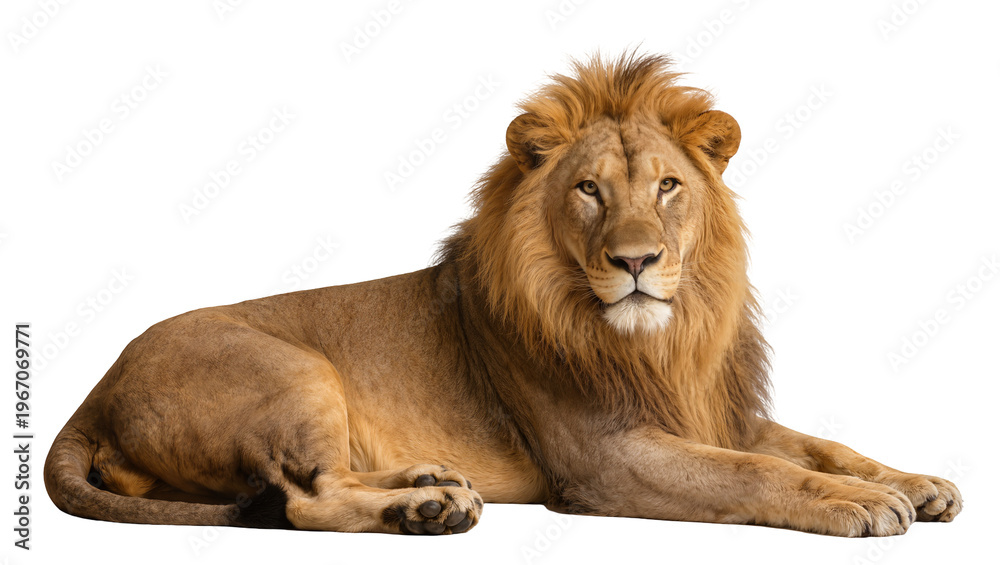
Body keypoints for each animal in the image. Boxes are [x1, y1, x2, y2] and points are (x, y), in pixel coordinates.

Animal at [45, 52, 962, 537]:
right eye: (589, 190)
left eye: (667, 185)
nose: (637, 260)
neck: (661, 339)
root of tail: (95, 391)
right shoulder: (603, 460)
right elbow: (754, 472)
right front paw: (862, 504)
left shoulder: (709, 411)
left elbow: (817, 444)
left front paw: (914, 480)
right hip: (297, 370)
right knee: (308, 498)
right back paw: (429, 509)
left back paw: (431, 478)